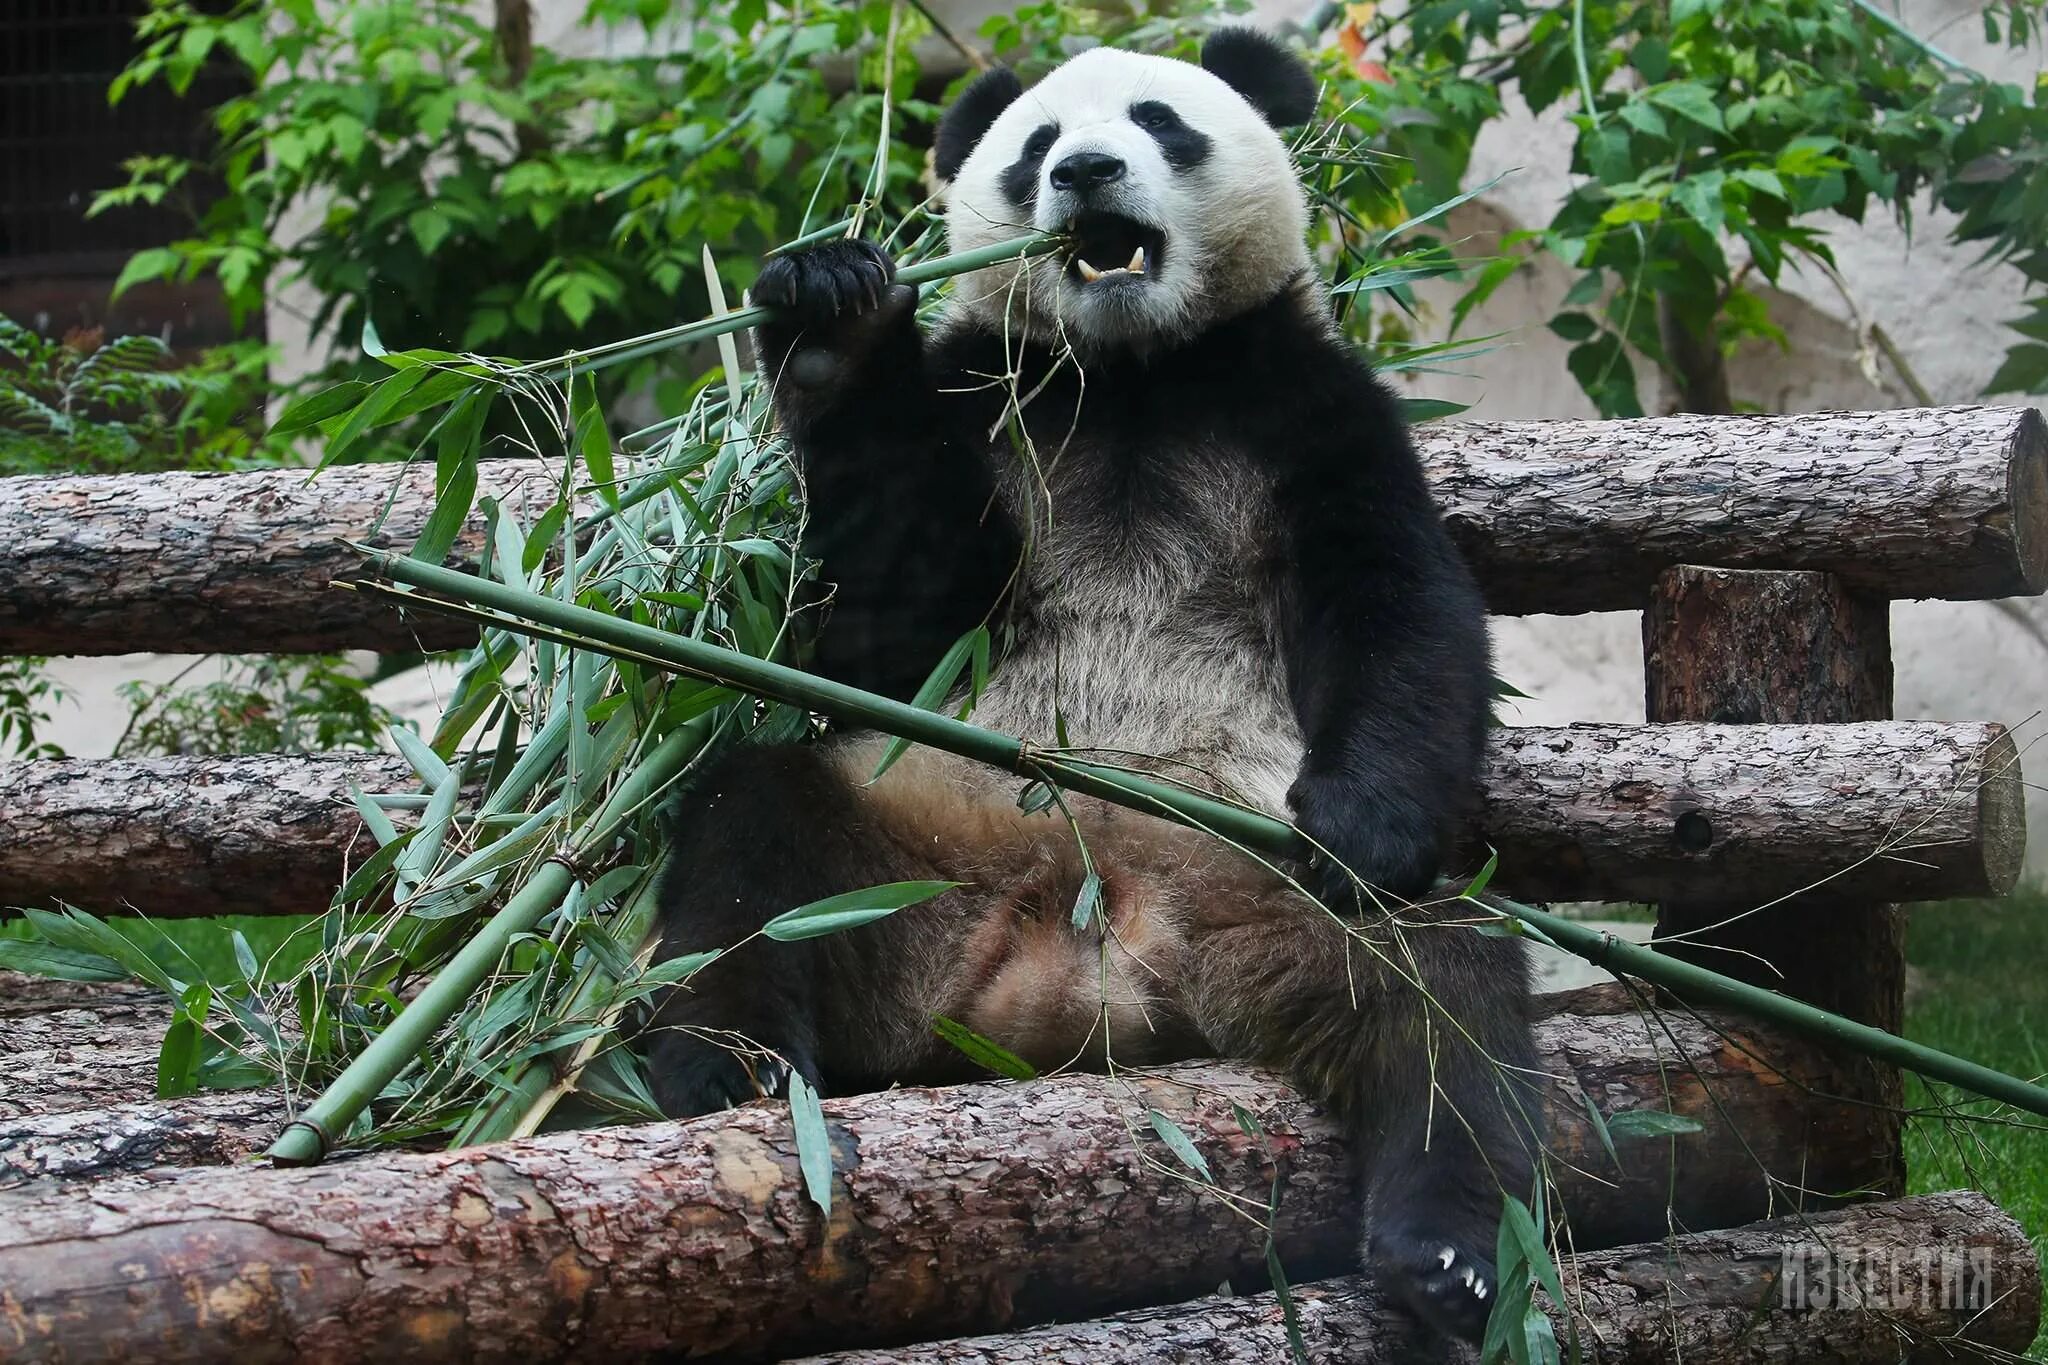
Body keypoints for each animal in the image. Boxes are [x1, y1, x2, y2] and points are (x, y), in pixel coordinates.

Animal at [651, 29, 1540, 1342]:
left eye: (1159, 120)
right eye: (1033, 147)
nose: (1085, 173)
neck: (1130, 372)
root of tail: (1089, 933)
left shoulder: (1308, 408)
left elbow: (1399, 605)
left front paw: (1359, 821)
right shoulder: (987, 408)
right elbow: (879, 626)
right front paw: (829, 321)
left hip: (1258, 882)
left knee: (1443, 1000)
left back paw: (1447, 1257)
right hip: (907, 842)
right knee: (747, 849)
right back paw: (724, 1071)